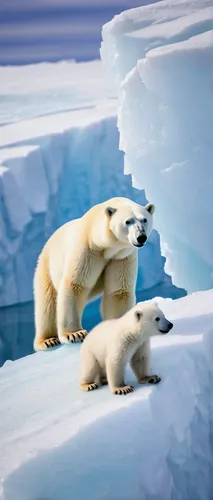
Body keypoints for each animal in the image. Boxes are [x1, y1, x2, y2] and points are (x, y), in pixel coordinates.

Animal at [33, 197, 155, 350]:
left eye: (144, 219)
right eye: (128, 221)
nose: (141, 237)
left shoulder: (122, 256)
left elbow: (118, 291)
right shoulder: (88, 249)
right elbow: (75, 285)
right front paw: (75, 334)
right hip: (47, 267)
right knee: (47, 303)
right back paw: (47, 340)